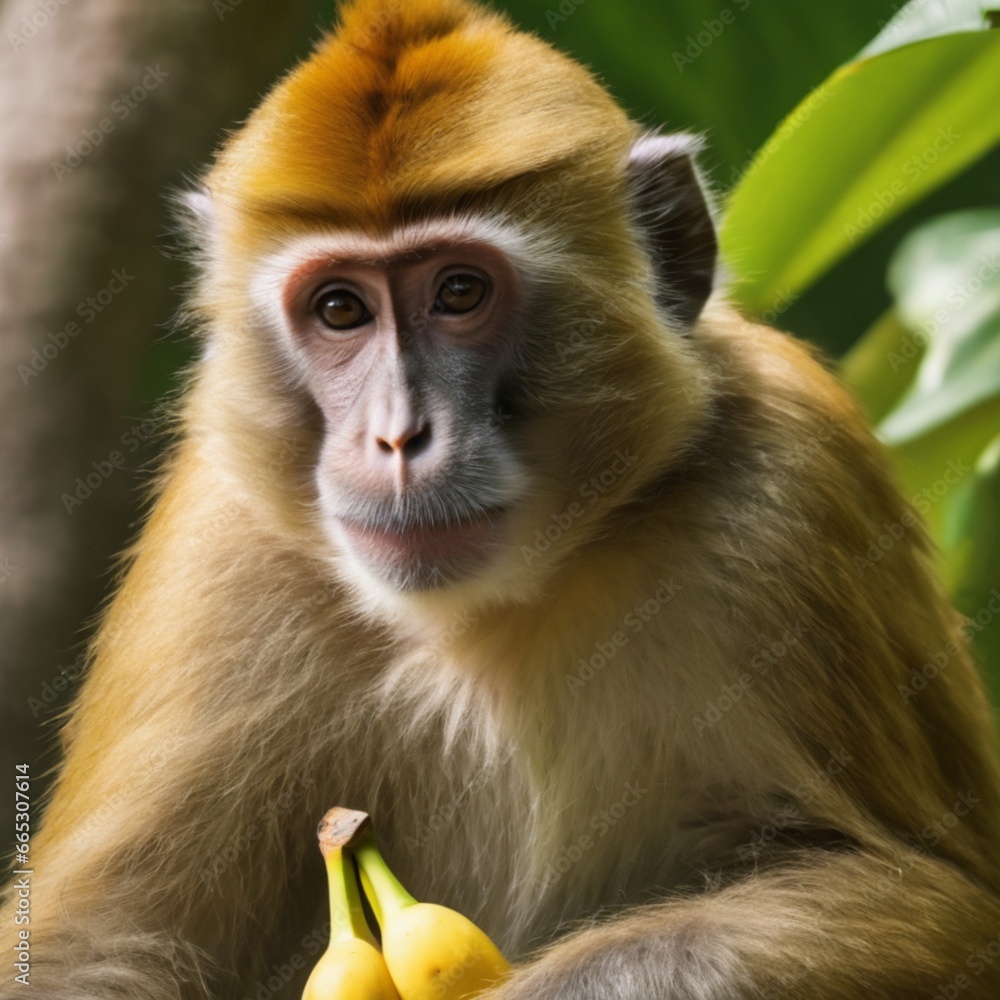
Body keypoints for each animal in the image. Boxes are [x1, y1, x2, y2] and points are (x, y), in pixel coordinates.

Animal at [4, 0, 1000, 997]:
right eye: (339, 310)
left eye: (459, 291)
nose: (398, 436)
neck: (487, 614)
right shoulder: (219, 537)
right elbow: (98, 944)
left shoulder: (791, 482)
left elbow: (936, 903)